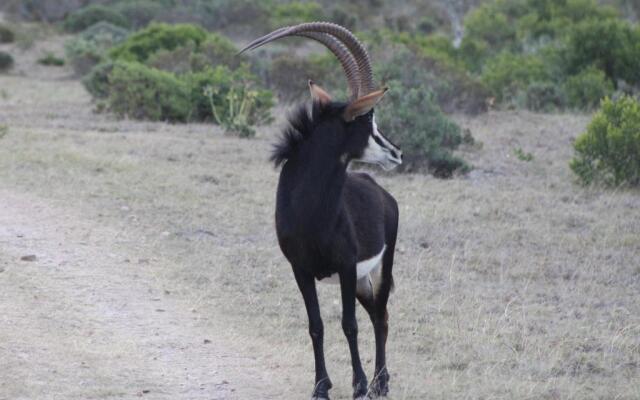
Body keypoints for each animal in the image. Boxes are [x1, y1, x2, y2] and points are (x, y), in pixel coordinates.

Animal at [240, 22, 400, 400]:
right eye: (368, 122)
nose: (396, 152)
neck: (309, 209)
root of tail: (383, 195)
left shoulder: (345, 266)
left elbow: (349, 325)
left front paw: (358, 385)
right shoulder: (300, 270)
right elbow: (316, 326)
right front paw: (321, 386)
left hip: (378, 270)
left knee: (380, 317)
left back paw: (379, 383)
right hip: (361, 281)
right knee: (378, 316)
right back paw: (378, 381)